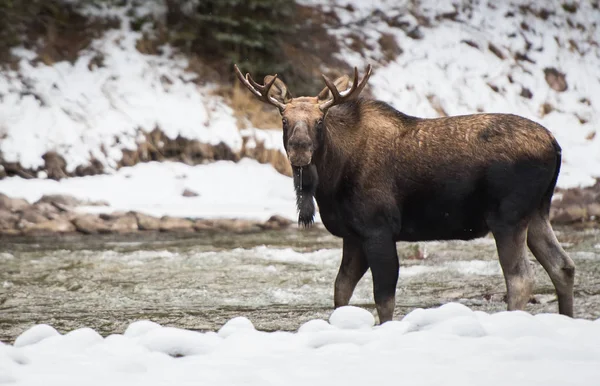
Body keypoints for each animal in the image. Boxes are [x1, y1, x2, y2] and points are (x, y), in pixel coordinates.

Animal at [232, 63, 576, 322]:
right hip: (537, 212)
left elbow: (383, 299)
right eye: (284, 119)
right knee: (563, 266)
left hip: (507, 217)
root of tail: (556, 145)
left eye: (320, 120)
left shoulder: (379, 229)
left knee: (521, 279)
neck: (330, 181)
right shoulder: (352, 235)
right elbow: (341, 291)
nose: (299, 149)